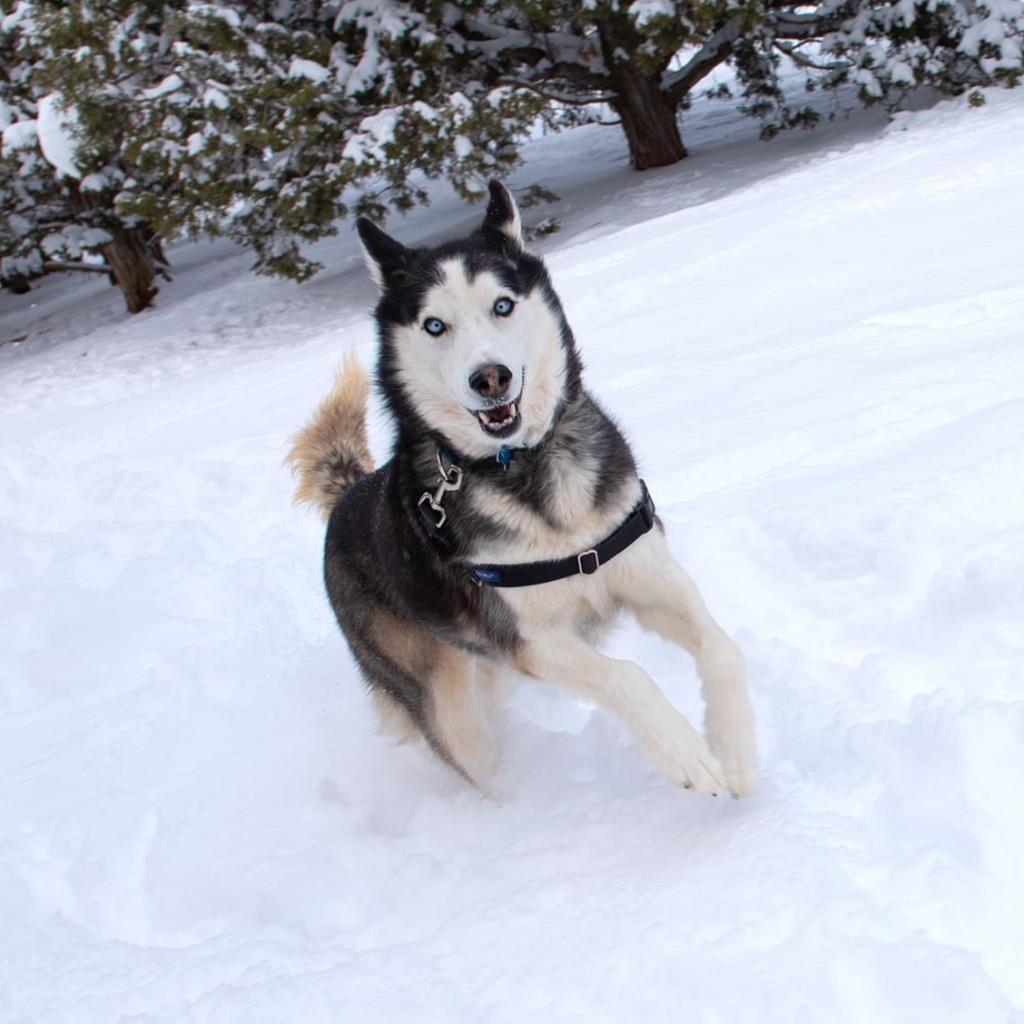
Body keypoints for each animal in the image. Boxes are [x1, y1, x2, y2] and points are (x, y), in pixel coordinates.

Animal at [288, 180, 753, 794]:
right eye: (434, 325)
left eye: (502, 305)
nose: (490, 378)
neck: (525, 467)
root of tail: (347, 498)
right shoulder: (527, 639)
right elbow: (626, 677)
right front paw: (686, 754)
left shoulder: (649, 578)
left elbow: (721, 647)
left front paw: (735, 750)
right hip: (449, 703)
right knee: (471, 753)